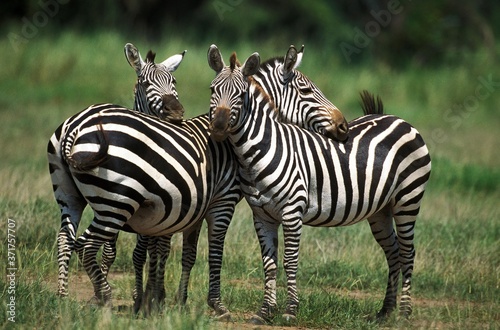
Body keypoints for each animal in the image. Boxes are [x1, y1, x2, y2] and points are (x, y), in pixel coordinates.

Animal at [48, 43, 350, 314]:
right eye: (307, 90)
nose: (343, 126)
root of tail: (75, 127)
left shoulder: (192, 206)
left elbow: (187, 255)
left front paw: (173, 301)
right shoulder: (222, 201)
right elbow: (214, 251)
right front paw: (214, 304)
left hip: (72, 197)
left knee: (65, 239)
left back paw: (63, 297)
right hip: (116, 203)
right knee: (86, 245)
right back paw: (105, 297)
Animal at [207, 50, 430, 324]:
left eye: (241, 94)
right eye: (212, 90)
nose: (218, 126)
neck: (261, 148)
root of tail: (396, 119)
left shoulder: (292, 212)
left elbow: (290, 260)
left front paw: (290, 311)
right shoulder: (261, 215)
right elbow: (269, 263)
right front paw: (265, 312)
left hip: (408, 199)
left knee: (408, 252)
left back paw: (404, 313)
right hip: (381, 210)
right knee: (394, 252)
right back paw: (385, 311)